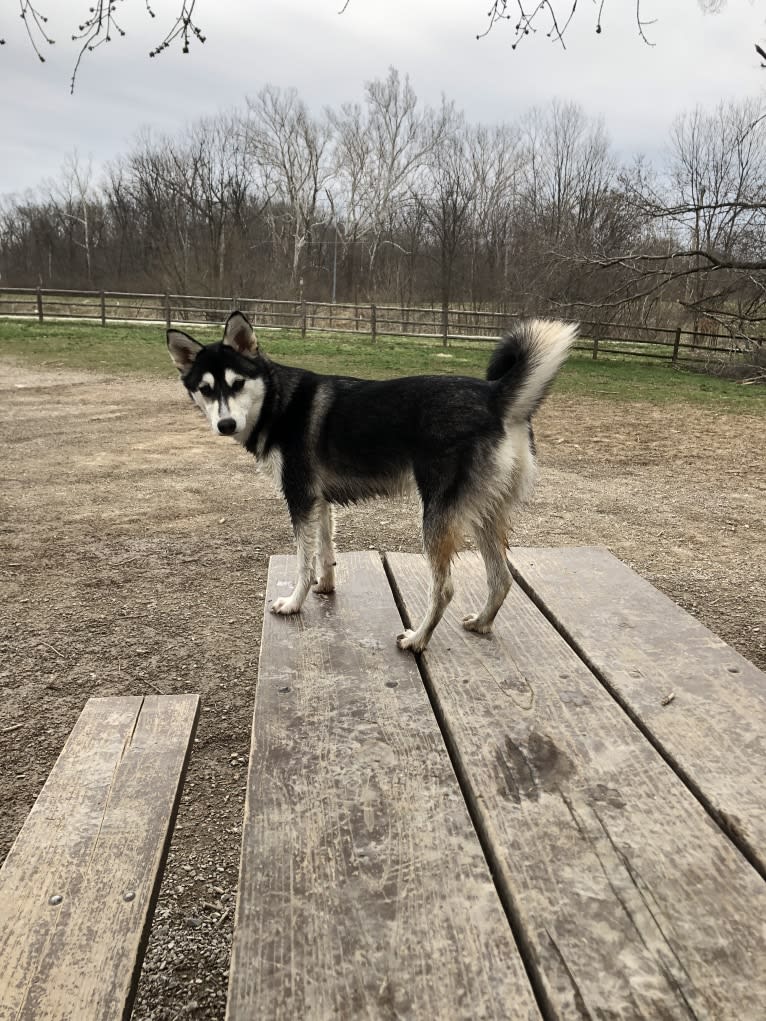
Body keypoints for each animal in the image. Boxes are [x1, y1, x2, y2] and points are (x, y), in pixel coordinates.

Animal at [166, 306, 576, 653]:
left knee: (444, 589)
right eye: (206, 389)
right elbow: (324, 551)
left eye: (237, 383)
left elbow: (302, 562)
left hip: (437, 517)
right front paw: (325, 587)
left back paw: (418, 639)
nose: (225, 424)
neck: (277, 403)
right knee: (502, 577)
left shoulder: (299, 498)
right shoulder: (320, 502)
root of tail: (493, 395)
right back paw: (481, 623)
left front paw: (294, 602)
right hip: (482, 514)